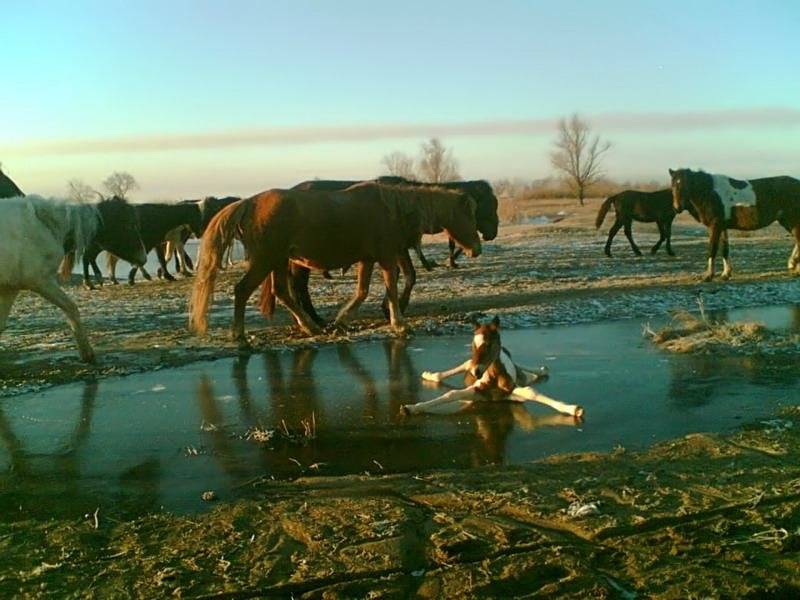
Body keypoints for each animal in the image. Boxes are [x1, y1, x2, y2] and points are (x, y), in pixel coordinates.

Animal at [0, 195, 146, 362]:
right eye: (129, 225)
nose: (144, 258)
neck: (44, 226)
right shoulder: (42, 282)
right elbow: (71, 308)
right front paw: (87, 354)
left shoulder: (10, 288)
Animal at [189, 182, 482, 345]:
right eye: (468, 215)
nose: (477, 249)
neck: (392, 208)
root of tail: (249, 203)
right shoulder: (386, 257)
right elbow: (391, 287)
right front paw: (399, 322)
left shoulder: (368, 259)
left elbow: (362, 291)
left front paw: (342, 319)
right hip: (266, 260)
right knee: (242, 291)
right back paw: (239, 335)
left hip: (279, 261)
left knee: (282, 292)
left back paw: (311, 326)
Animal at [401, 316, 583, 417]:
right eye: (473, 344)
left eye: (488, 344)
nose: (476, 372)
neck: (495, 379)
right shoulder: (477, 390)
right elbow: (451, 394)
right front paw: (409, 408)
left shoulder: (511, 392)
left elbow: (532, 392)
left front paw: (573, 409)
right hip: (469, 365)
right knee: (463, 365)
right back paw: (429, 375)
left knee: (523, 371)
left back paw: (541, 370)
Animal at [669, 168, 800, 281]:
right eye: (673, 186)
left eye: (686, 185)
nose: (677, 208)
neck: (711, 193)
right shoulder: (722, 227)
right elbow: (725, 249)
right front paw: (726, 274)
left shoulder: (715, 226)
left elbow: (712, 248)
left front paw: (708, 275)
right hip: (786, 221)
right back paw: (793, 265)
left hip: (792, 220)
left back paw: (793, 265)